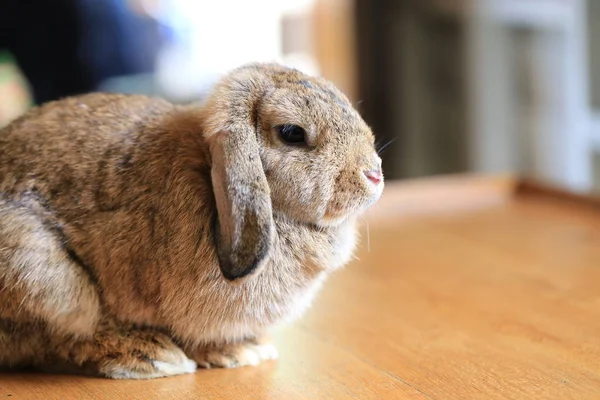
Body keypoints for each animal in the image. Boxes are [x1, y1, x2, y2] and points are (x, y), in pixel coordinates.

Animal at [0, 62, 384, 378]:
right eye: (292, 132)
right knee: (63, 337)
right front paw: (237, 353)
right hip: (45, 278)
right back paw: (150, 356)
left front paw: (245, 350)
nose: (375, 175)